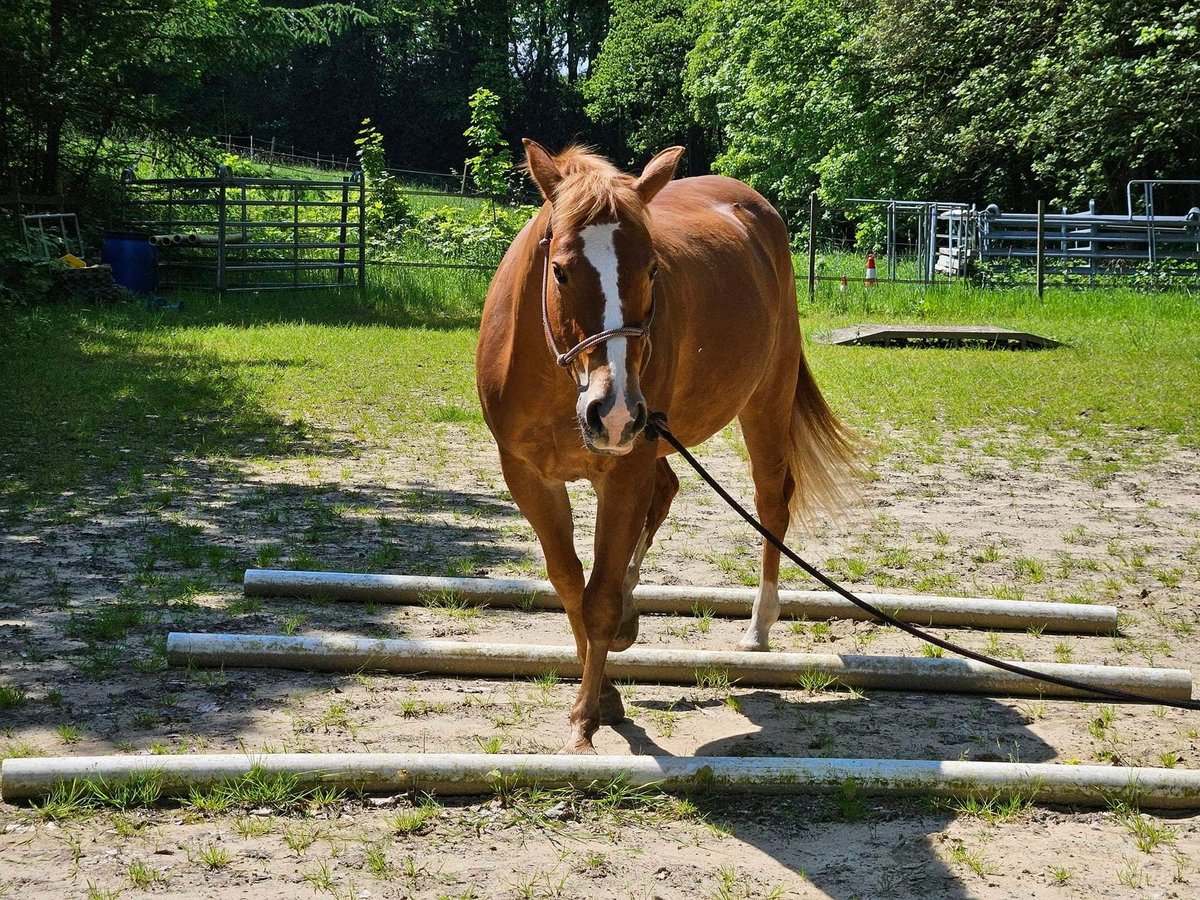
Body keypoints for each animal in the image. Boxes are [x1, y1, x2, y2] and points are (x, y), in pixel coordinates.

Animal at [472, 142, 859, 753]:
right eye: (559, 270)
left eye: (653, 269)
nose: (613, 411)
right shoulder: (529, 476)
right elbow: (571, 584)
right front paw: (604, 693)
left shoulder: (624, 470)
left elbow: (598, 598)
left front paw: (587, 717)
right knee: (668, 491)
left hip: (764, 402)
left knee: (772, 502)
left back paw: (758, 625)